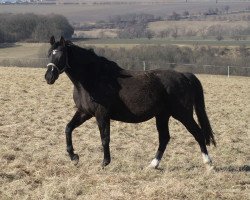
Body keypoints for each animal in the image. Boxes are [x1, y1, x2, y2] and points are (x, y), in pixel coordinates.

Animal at [44, 36, 215, 170]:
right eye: (49, 53)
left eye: (61, 54)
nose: (49, 77)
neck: (92, 78)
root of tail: (184, 76)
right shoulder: (84, 112)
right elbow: (68, 128)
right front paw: (74, 157)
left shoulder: (102, 114)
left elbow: (105, 138)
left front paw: (105, 162)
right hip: (162, 115)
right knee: (164, 138)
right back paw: (153, 164)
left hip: (182, 114)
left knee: (197, 133)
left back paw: (208, 163)